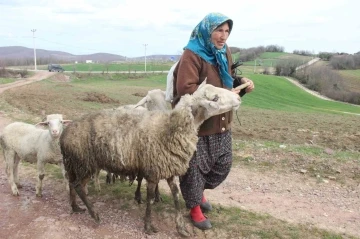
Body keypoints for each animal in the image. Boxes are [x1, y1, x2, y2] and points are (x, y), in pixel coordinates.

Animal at [59, 80, 240, 235]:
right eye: (215, 98)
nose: (238, 97)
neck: (169, 129)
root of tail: (64, 133)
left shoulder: (169, 169)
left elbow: (176, 197)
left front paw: (181, 227)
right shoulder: (153, 172)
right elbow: (150, 200)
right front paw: (148, 226)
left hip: (74, 163)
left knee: (71, 183)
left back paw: (75, 207)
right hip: (84, 163)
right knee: (78, 186)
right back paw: (94, 214)